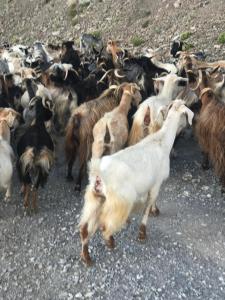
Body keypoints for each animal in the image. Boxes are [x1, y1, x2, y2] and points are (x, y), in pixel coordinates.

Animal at [79, 99, 193, 264]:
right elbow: (149, 204)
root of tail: (99, 173)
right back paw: (110, 242)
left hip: (95, 199)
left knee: (84, 229)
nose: (188, 132)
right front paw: (143, 232)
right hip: (119, 201)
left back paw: (86, 257)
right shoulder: (156, 183)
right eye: (186, 115)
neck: (162, 142)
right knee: (104, 227)